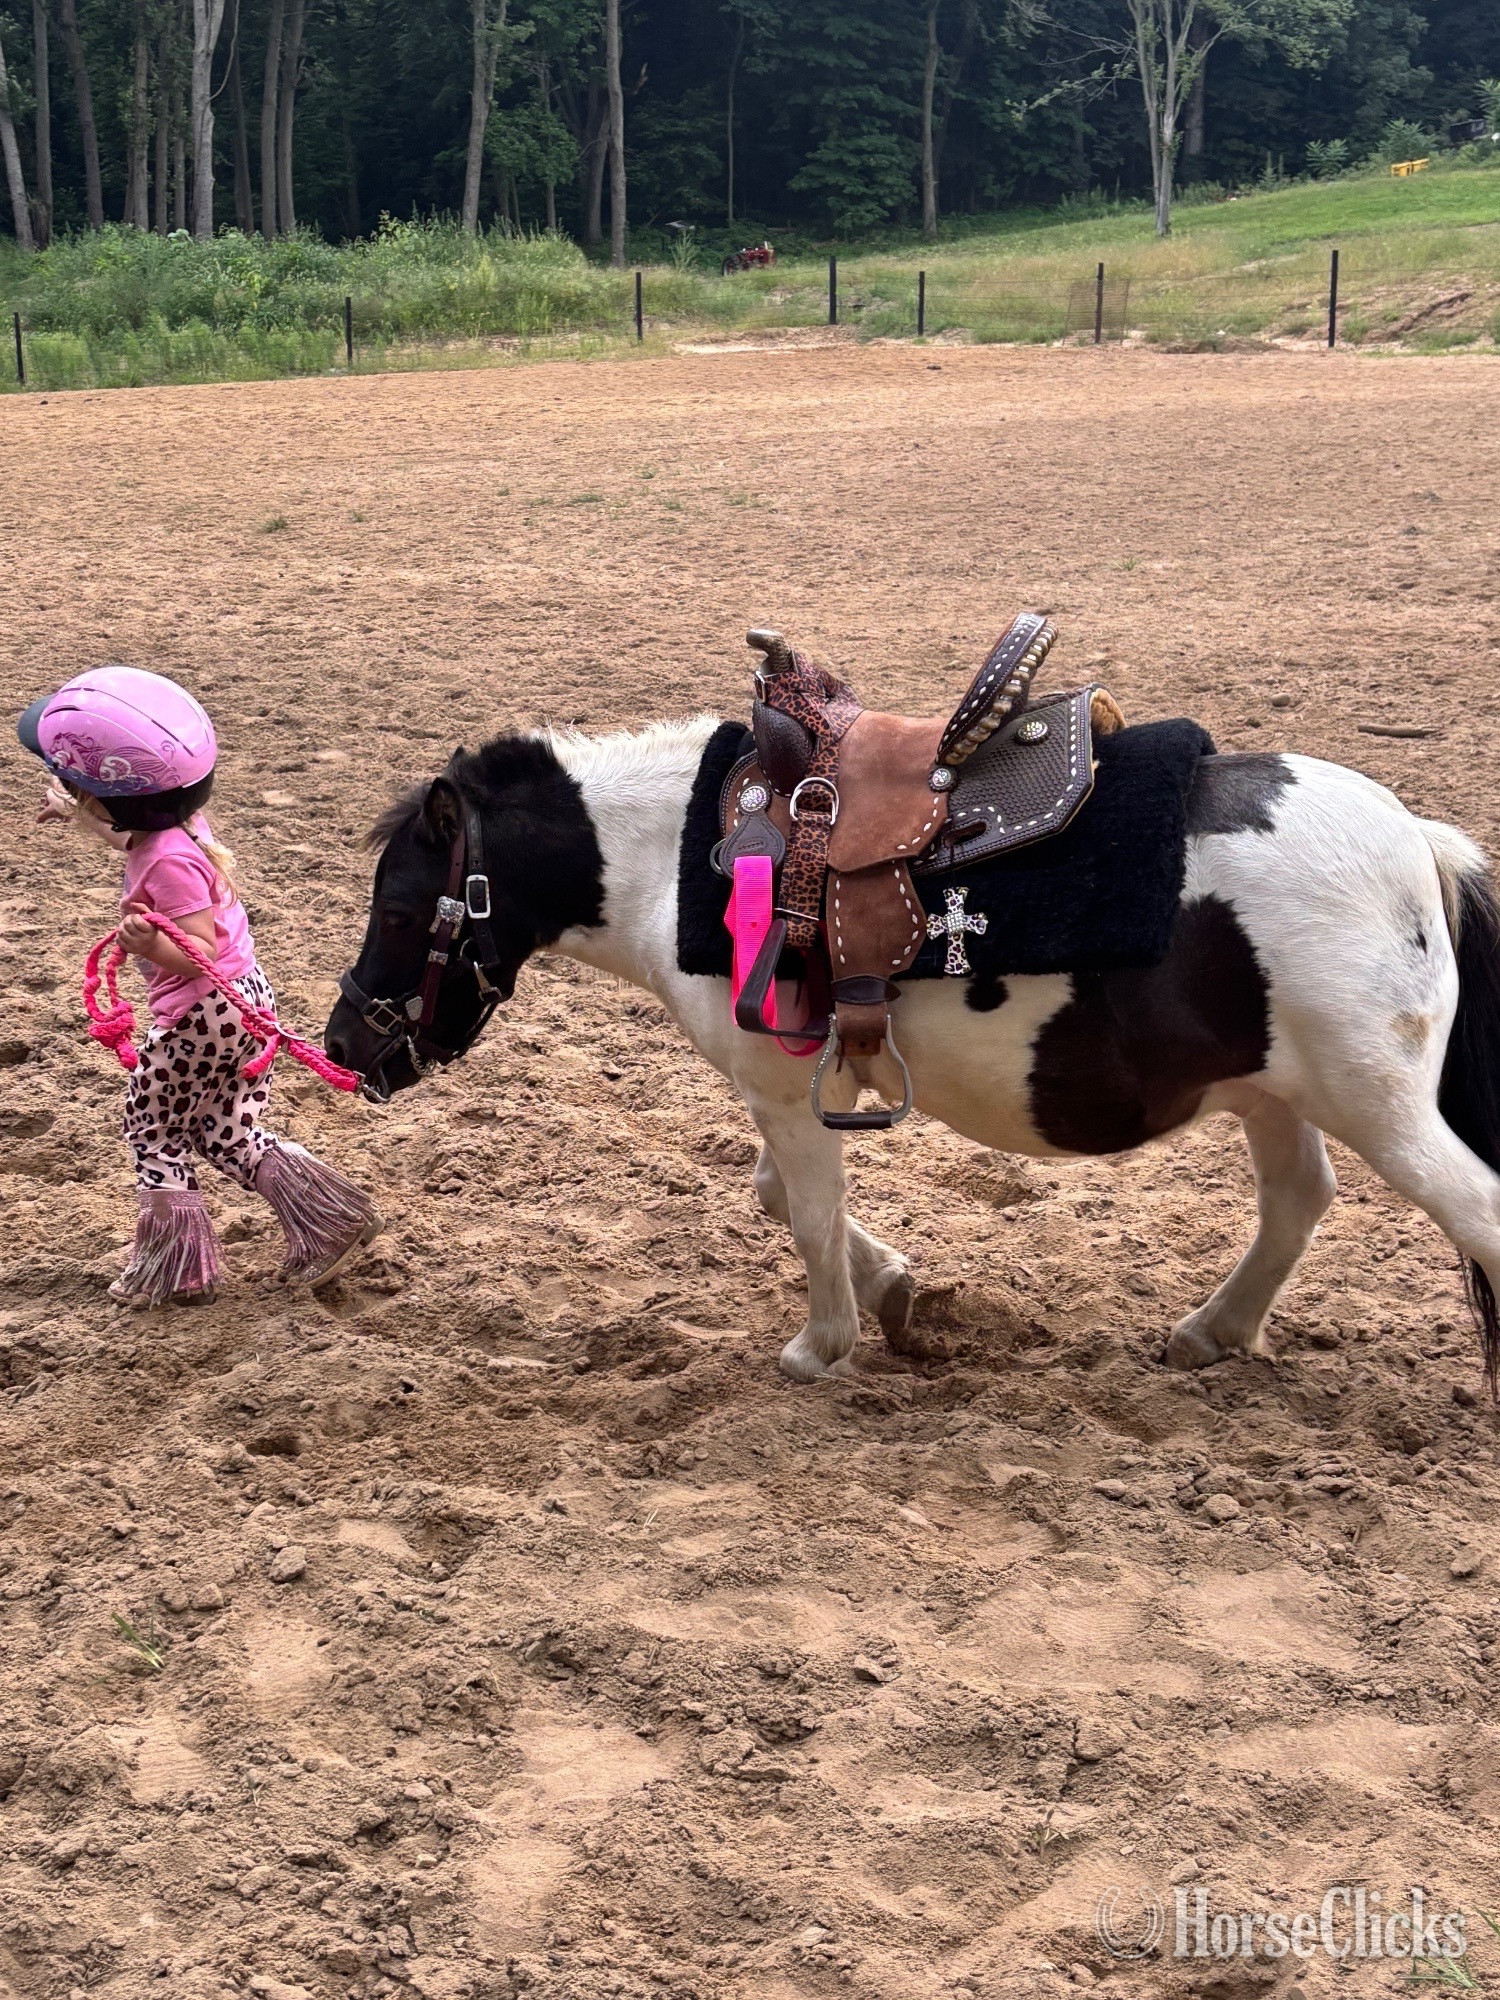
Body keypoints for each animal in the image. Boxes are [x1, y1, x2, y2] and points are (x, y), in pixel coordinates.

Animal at [324, 714, 1500, 1390]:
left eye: (399, 909)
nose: (342, 1042)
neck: (685, 857)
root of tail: (1416, 841)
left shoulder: (782, 1092)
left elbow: (803, 1211)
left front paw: (822, 1344)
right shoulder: (787, 1094)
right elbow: (779, 1199)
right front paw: (891, 1292)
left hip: (1374, 1101)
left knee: (1472, 1212)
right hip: (1270, 1091)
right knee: (1298, 1198)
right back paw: (1212, 1330)